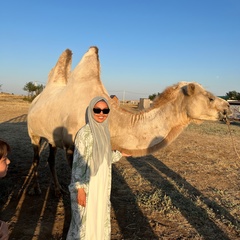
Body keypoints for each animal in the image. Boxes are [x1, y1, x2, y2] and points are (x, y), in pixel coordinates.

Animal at [26, 46, 231, 196]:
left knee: (50, 159)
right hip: (33, 133)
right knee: (36, 158)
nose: (227, 108)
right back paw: (36, 189)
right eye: (210, 98)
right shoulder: (73, 147)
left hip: (52, 137)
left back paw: (57, 190)